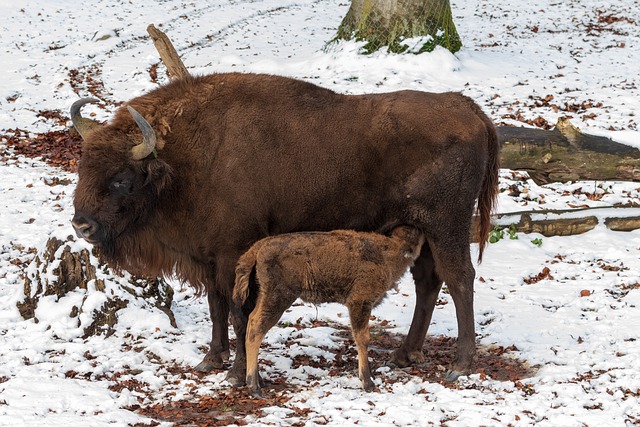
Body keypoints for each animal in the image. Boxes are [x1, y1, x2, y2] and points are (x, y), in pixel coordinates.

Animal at [232, 226, 422, 396]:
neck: (388, 251)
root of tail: (260, 246)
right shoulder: (360, 303)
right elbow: (362, 338)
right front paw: (368, 382)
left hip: (266, 295)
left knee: (251, 320)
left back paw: (258, 381)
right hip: (278, 298)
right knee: (256, 329)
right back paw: (254, 386)